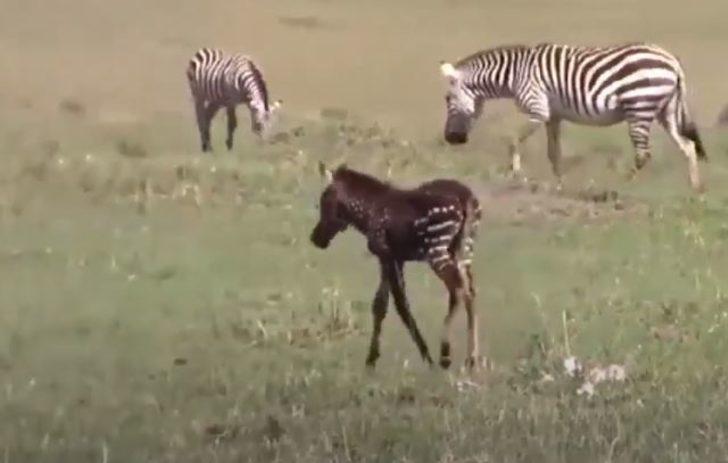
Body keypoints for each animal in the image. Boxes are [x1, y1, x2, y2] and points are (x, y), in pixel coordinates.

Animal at [440, 43, 707, 191]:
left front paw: (516, 173)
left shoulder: (538, 110)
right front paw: (559, 185)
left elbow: (513, 140)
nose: (451, 139)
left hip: (639, 107)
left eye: (447, 99)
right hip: (666, 111)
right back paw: (695, 190)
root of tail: (672, 61)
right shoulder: (553, 116)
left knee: (643, 154)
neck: (515, 75)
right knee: (688, 146)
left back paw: (620, 186)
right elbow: (554, 152)